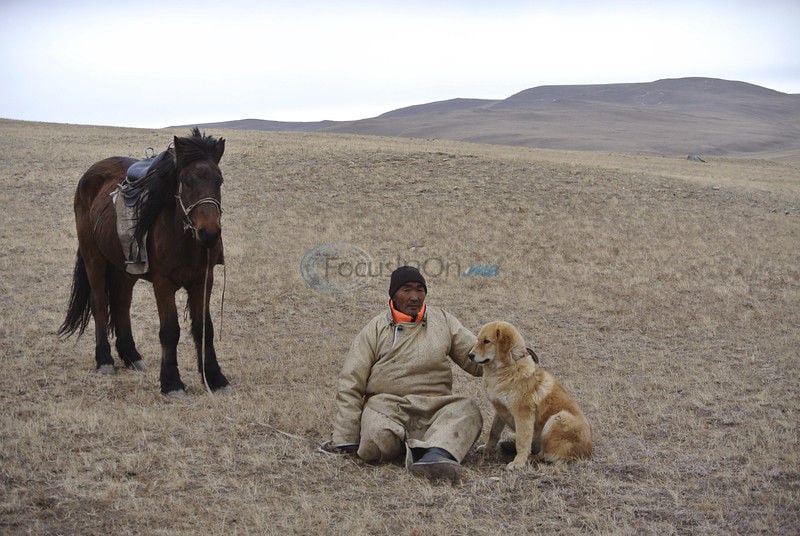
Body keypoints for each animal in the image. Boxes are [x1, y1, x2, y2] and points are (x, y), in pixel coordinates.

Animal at [58, 127, 228, 396]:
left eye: (219, 181)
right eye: (186, 181)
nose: (209, 233)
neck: (182, 237)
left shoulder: (203, 280)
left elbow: (205, 328)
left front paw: (215, 378)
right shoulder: (163, 283)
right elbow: (170, 331)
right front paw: (171, 382)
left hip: (124, 269)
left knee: (121, 304)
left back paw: (131, 355)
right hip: (93, 258)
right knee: (99, 304)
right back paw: (104, 359)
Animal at [466, 322, 592, 468]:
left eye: (487, 341)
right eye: (478, 340)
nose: (470, 355)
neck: (508, 368)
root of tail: (588, 452)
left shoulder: (523, 414)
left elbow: (522, 441)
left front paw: (518, 462)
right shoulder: (500, 410)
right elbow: (494, 433)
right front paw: (487, 449)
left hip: (558, 419)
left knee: (546, 454)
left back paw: (531, 458)